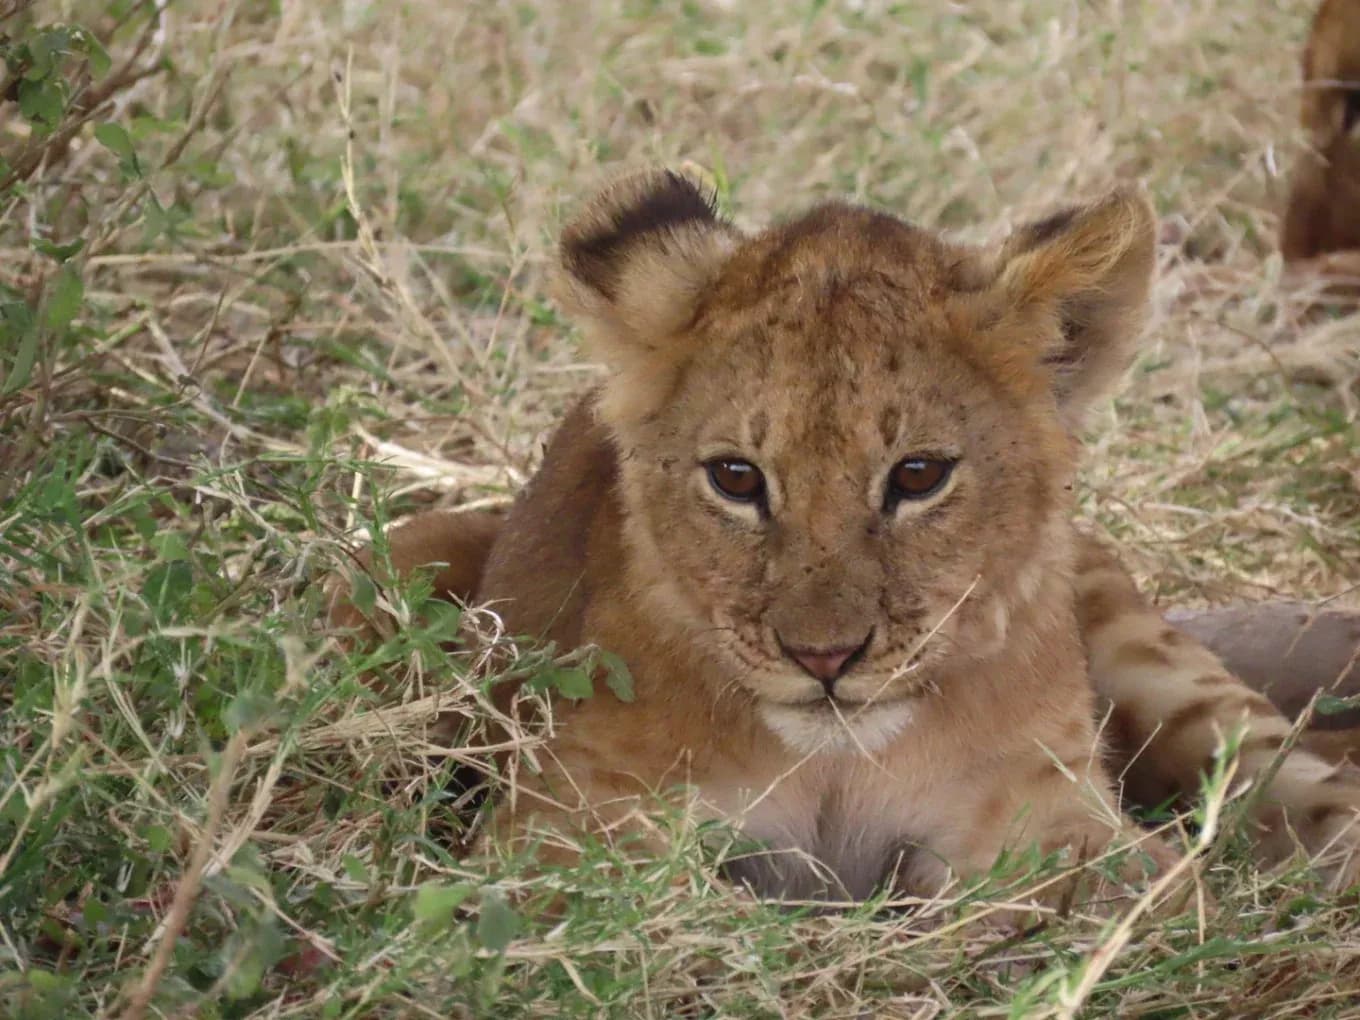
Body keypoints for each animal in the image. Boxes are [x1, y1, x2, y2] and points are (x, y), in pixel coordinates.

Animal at [331, 169, 1360, 905]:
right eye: (736, 479)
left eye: (918, 476)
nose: (824, 659)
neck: (838, 764)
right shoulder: (567, 817)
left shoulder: (1050, 808)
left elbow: (1127, 894)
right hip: (401, 558)